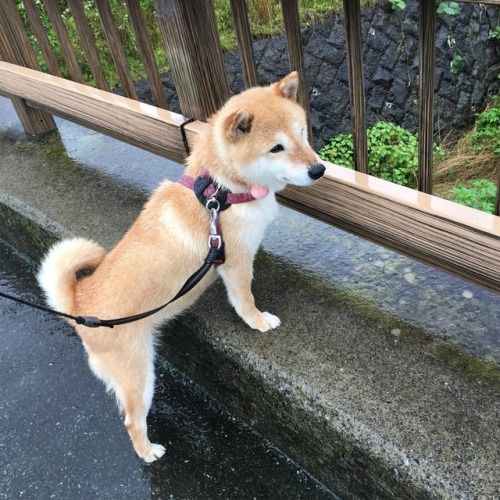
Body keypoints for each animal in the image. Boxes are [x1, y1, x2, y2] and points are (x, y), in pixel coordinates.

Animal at [40, 70, 328, 460]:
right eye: (276, 148)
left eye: (302, 133)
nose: (318, 169)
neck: (222, 192)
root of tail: (78, 304)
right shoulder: (234, 264)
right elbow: (245, 299)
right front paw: (259, 321)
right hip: (139, 376)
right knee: (132, 421)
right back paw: (148, 452)